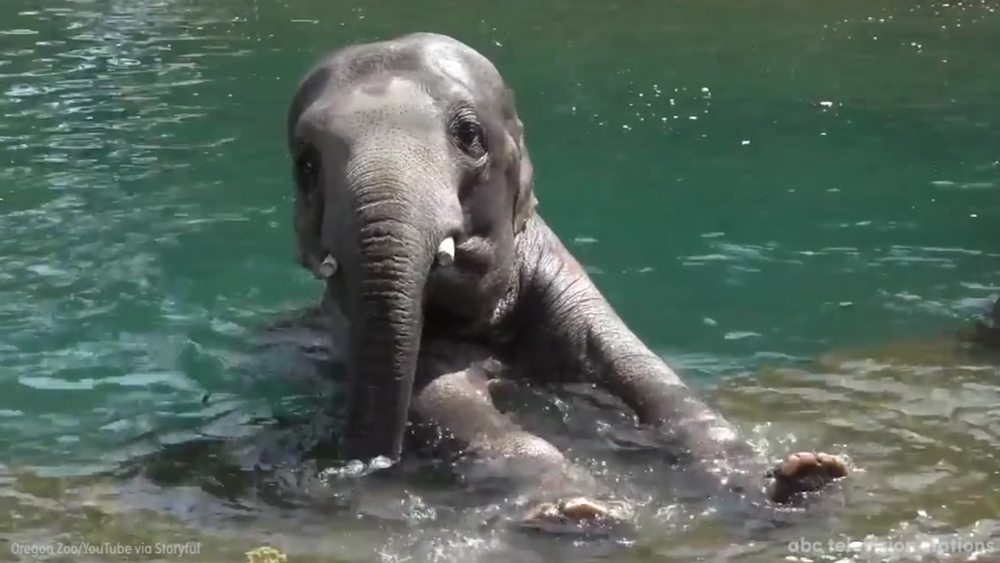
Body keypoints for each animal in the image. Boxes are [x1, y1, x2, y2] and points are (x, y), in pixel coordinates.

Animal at [283, 31, 849, 531]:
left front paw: (802, 476)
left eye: (469, 136)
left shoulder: (566, 285)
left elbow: (647, 373)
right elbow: (449, 404)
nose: (369, 470)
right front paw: (577, 510)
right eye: (306, 164)